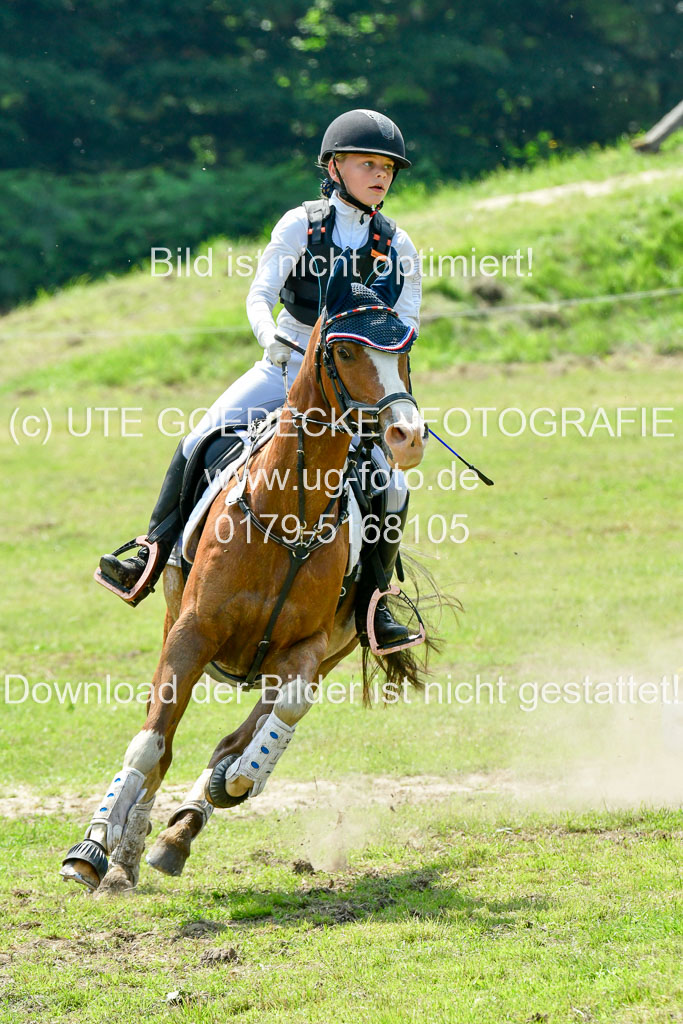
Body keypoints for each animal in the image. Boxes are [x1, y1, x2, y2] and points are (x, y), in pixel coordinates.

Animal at [60, 250, 430, 894]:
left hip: (327, 651)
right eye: (346, 352)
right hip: (173, 620)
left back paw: (182, 829)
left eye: (404, 350)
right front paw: (92, 850)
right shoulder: (190, 633)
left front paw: (235, 782)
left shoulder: (306, 652)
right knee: (165, 746)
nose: (404, 438)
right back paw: (125, 855)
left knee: (234, 739)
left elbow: (274, 722)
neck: (288, 515)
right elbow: (149, 745)